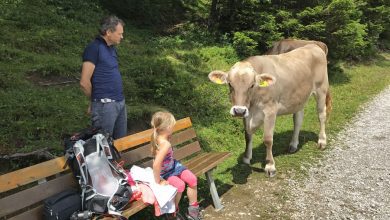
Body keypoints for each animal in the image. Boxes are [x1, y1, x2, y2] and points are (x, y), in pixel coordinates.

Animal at [209, 44, 330, 177]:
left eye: (252, 85)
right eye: (230, 84)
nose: (239, 111)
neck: (253, 104)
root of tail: (313, 45)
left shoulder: (270, 111)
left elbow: (268, 139)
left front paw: (270, 166)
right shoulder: (248, 113)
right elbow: (248, 135)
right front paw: (246, 158)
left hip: (321, 89)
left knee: (321, 115)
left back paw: (322, 141)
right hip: (299, 98)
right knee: (298, 120)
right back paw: (293, 145)